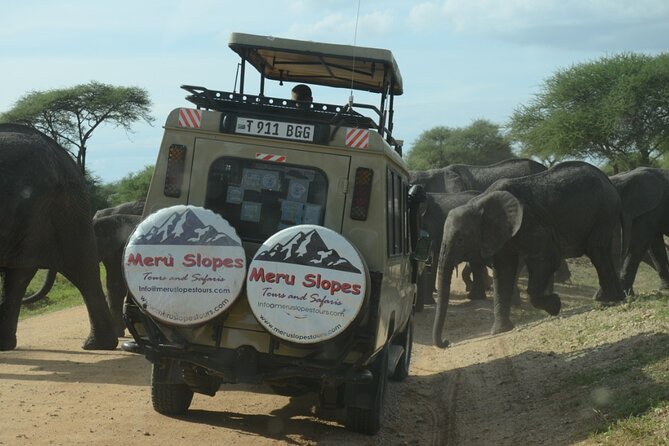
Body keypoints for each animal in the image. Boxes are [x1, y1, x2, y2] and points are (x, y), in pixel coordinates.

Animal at [433, 161, 626, 348]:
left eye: (460, 239)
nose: (447, 342)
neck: (478, 202)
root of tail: (608, 180)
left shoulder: (530, 223)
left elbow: (547, 260)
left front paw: (555, 306)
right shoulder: (503, 233)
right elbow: (503, 271)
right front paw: (501, 331)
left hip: (604, 209)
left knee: (596, 250)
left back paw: (606, 301)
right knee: (604, 251)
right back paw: (617, 298)